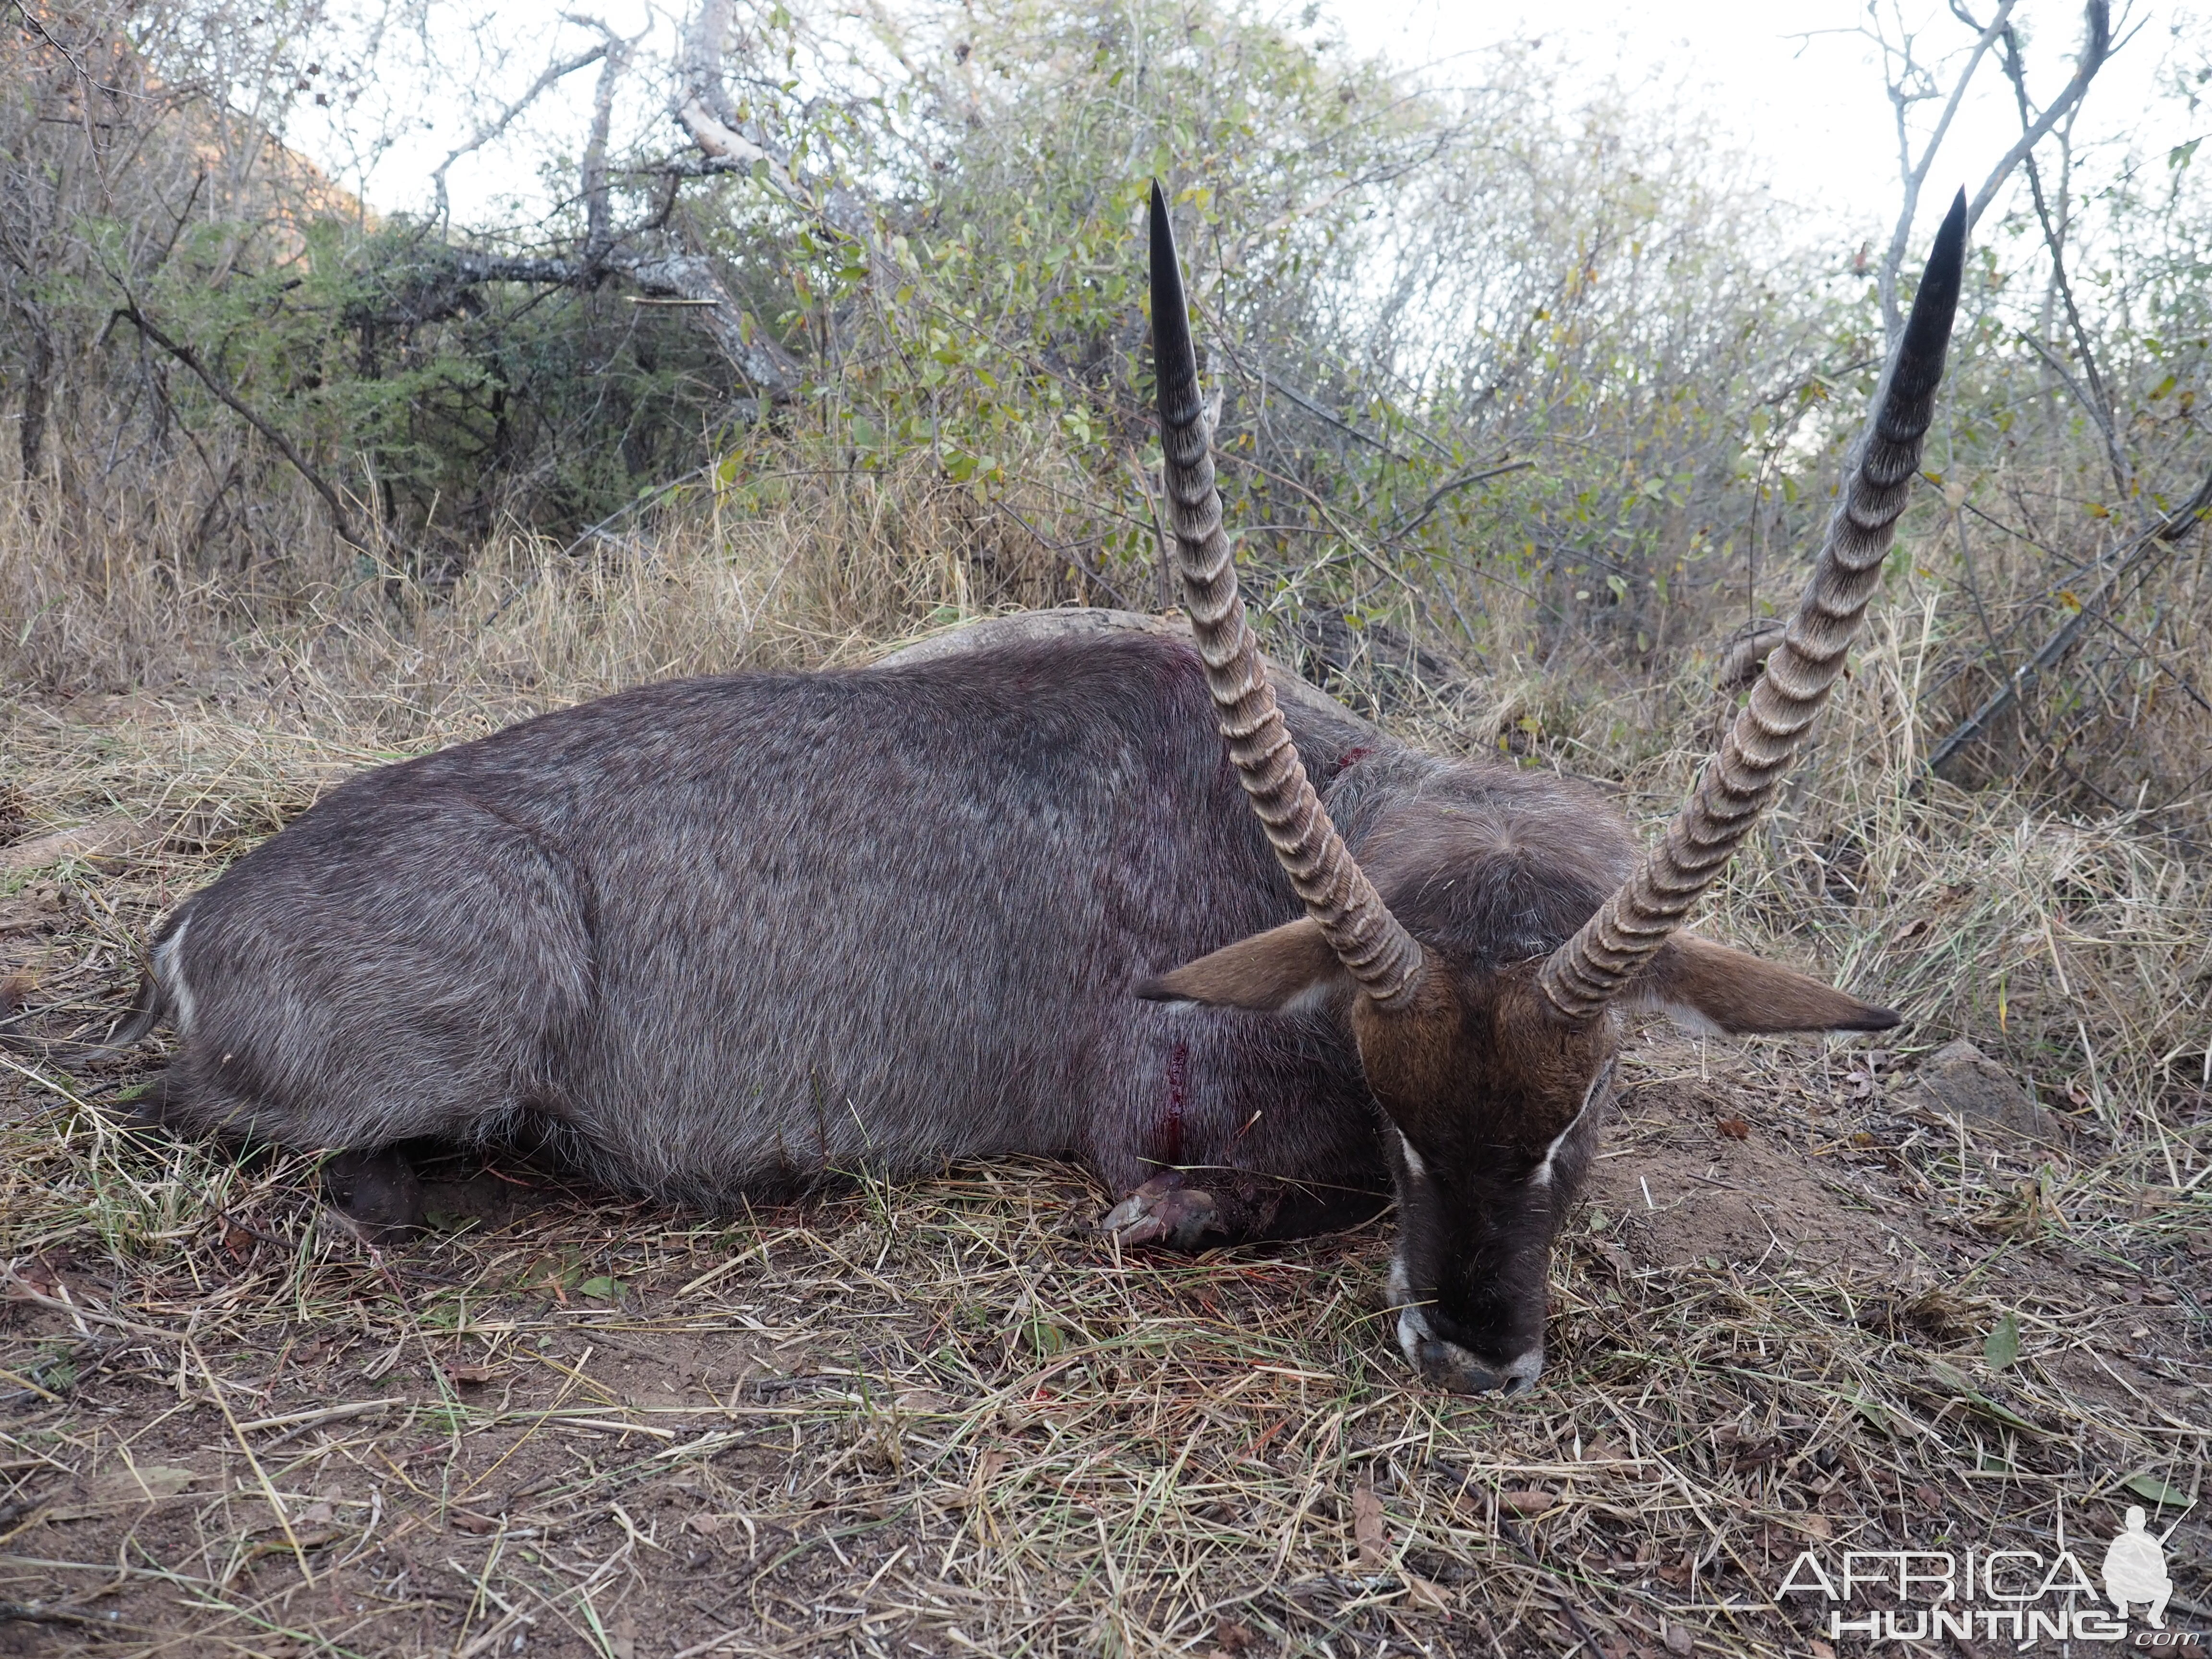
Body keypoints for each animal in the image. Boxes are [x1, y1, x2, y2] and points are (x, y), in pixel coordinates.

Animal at [112, 188, 1964, 1398]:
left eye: (1585, 1100)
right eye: (1390, 1088)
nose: (1470, 1348)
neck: (1291, 801)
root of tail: (196, 917)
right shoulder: (1166, 1110)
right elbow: (1260, 1189)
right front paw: (1181, 1220)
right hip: (471, 1023)